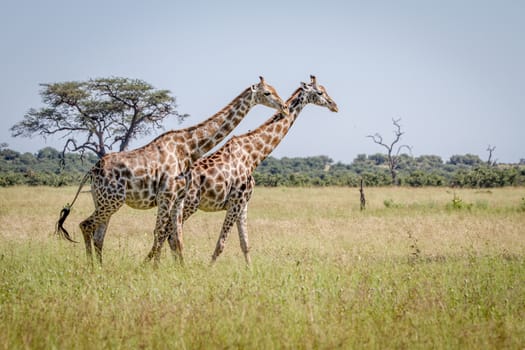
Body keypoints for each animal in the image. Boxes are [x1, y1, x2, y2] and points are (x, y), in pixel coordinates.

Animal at [56, 76, 286, 266]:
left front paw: (180, 270)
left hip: (104, 201)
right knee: (86, 225)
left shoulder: (179, 198)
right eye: (267, 93)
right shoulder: (166, 195)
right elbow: (160, 232)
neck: (189, 148)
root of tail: (92, 171)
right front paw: (154, 269)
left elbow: (177, 237)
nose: (283, 107)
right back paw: (91, 267)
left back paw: (100, 267)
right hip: (112, 201)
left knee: (98, 235)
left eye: (275, 89)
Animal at [154, 76, 338, 262]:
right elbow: (221, 245)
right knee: (167, 234)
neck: (253, 155)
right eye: (319, 92)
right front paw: (209, 267)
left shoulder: (243, 204)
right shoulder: (236, 202)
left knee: (168, 234)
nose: (334, 105)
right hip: (189, 204)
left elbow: (245, 244)